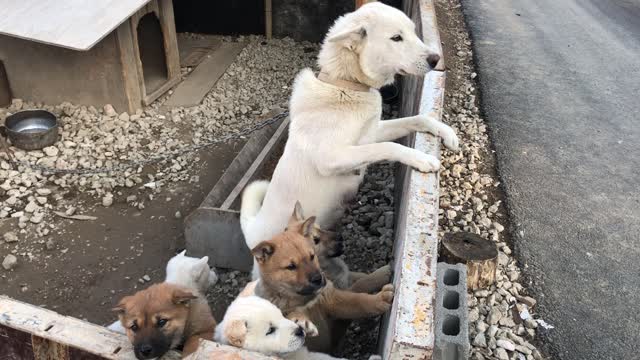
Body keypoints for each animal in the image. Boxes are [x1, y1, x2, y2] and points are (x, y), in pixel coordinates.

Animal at [252, 204, 392, 352]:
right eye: (291, 267)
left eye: (311, 256)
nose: (340, 236)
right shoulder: (336, 296)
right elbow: (360, 293)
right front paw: (382, 297)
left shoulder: (334, 290)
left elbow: (361, 286)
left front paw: (380, 274)